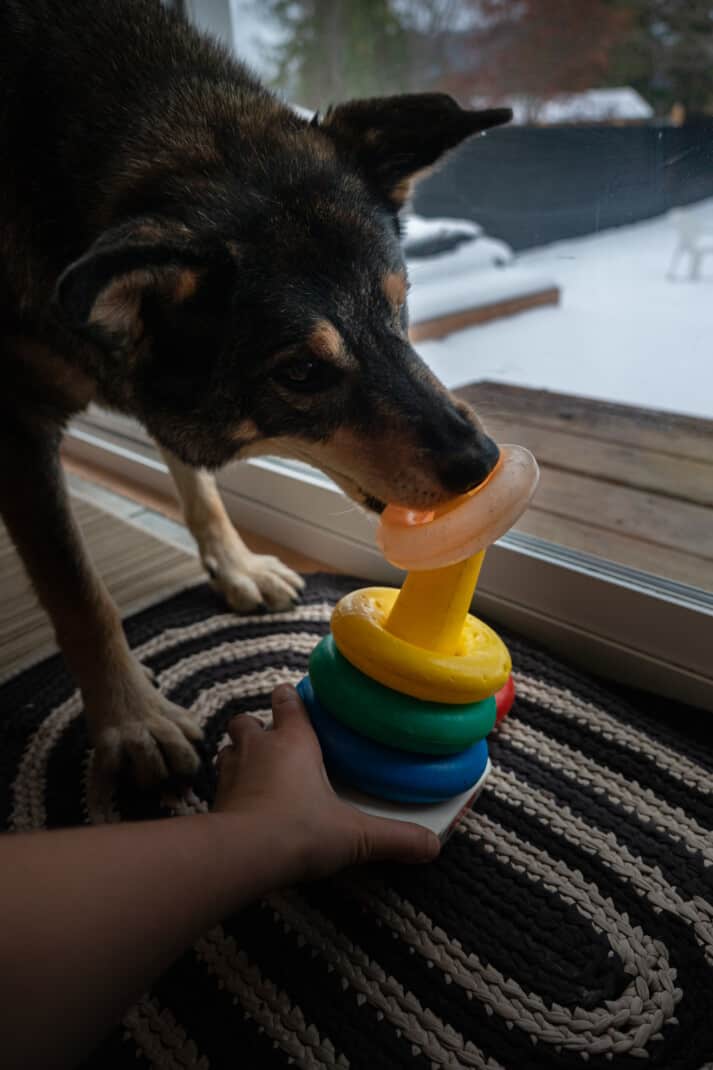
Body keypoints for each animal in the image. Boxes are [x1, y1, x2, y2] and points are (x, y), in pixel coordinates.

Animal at [1, 0, 511, 787]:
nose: (481, 463)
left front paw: (235, 563)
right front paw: (131, 718)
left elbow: (196, 481)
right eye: (300, 373)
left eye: (401, 307)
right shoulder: (18, 424)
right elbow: (79, 591)